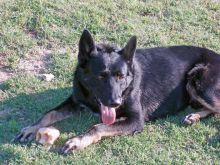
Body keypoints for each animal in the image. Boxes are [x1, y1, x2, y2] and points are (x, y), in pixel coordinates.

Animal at [15, 29, 220, 153]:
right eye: (100, 76)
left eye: (121, 76)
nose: (115, 103)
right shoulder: (76, 100)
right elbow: (49, 113)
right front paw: (32, 128)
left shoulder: (136, 120)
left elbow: (98, 127)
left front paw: (78, 141)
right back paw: (194, 116)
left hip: (199, 81)